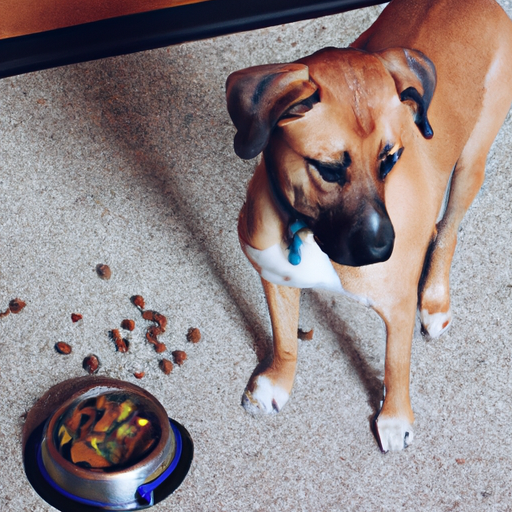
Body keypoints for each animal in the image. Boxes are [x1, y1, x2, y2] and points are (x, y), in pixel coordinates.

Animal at [227, 0, 512, 450]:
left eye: (390, 159)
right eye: (328, 168)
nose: (382, 251)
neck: (307, 231)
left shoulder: (397, 307)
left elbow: (396, 365)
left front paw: (395, 418)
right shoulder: (275, 277)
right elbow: (285, 339)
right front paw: (276, 382)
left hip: (472, 158)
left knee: (448, 229)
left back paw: (435, 300)